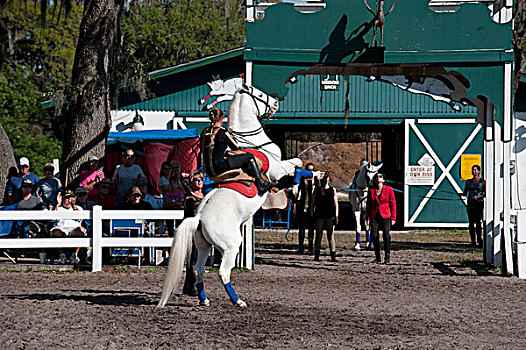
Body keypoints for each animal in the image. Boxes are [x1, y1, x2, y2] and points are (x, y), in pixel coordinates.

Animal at [159, 83, 304, 308]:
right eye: (259, 94)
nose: (275, 103)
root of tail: (199, 217)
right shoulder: (278, 169)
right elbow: (297, 163)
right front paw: (296, 187)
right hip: (231, 246)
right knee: (223, 272)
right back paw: (238, 301)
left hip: (204, 246)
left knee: (198, 270)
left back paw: (204, 299)